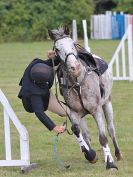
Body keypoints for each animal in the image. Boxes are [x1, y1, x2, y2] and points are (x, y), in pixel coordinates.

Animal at [48, 26, 122, 169]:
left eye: (73, 44)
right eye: (57, 49)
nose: (75, 67)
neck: (78, 83)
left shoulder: (96, 110)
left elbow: (103, 137)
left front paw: (110, 163)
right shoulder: (74, 113)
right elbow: (77, 131)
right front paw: (91, 155)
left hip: (107, 103)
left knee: (111, 129)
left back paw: (117, 154)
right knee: (86, 135)